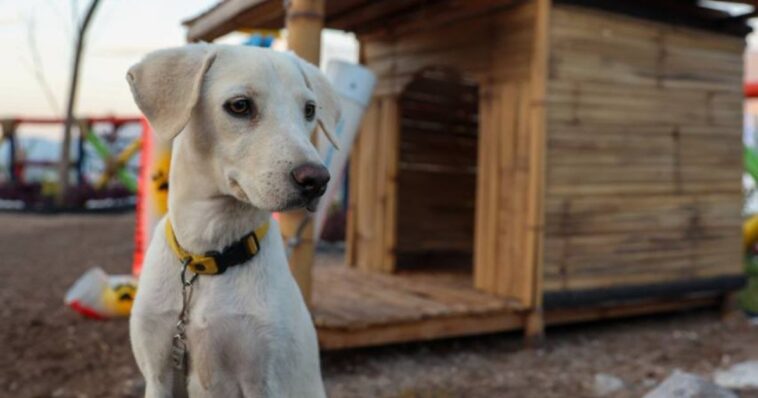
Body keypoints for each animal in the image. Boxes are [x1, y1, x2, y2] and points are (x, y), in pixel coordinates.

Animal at [126, 44, 336, 398]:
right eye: (240, 105)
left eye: (309, 110)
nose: (318, 180)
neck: (208, 257)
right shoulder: (158, 372)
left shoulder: (262, 380)